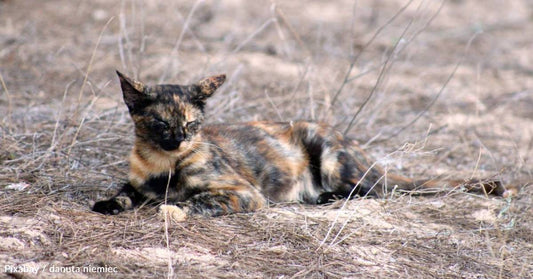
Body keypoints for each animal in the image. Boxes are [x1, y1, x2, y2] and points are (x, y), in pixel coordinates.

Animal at [91, 71, 512, 222]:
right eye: (162, 124)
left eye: (192, 124)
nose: (180, 140)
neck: (162, 164)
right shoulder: (138, 181)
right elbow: (126, 191)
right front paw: (110, 203)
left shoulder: (244, 193)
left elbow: (193, 199)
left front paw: (172, 207)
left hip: (327, 153)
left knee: (373, 191)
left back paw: (325, 198)